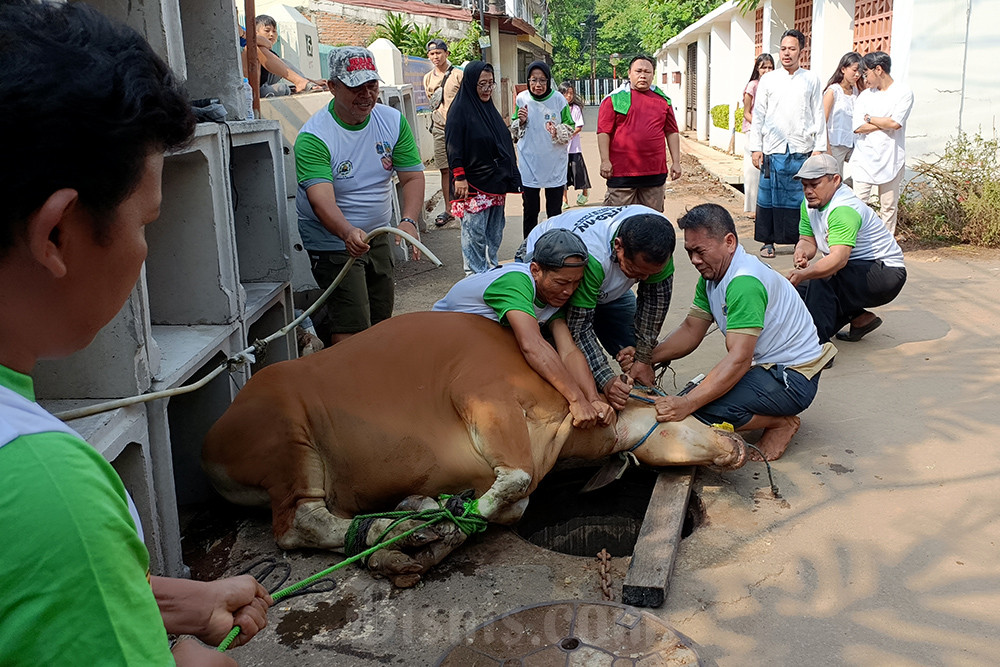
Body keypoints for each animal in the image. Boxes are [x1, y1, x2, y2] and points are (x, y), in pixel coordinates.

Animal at [201, 312, 744, 584]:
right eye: (677, 412)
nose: (734, 443)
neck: (564, 416)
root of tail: (212, 440)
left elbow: (504, 505)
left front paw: (431, 522)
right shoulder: (484, 396)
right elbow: (517, 485)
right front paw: (431, 528)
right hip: (287, 438)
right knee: (298, 523)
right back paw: (389, 533)